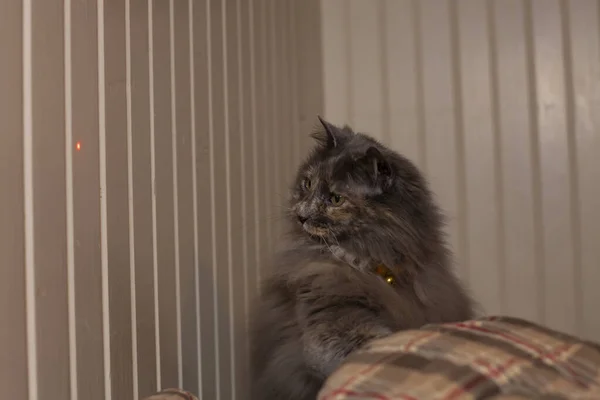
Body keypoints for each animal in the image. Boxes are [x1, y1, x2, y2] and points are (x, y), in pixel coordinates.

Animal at [248, 116, 474, 400]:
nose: (301, 215)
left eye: (335, 199)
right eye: (307, 183)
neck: (371, 264)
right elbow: (378, 345)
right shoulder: (333, 321)